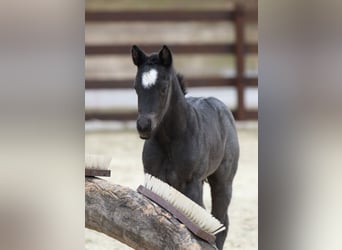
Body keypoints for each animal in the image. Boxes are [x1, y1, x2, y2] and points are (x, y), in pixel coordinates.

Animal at [132, 45, 239, 250]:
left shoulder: (192, 184)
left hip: (223, 182)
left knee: (221, 221)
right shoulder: (155, 180)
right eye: (136, 88)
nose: (144, 126)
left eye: (164, 88)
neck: (170, 140)